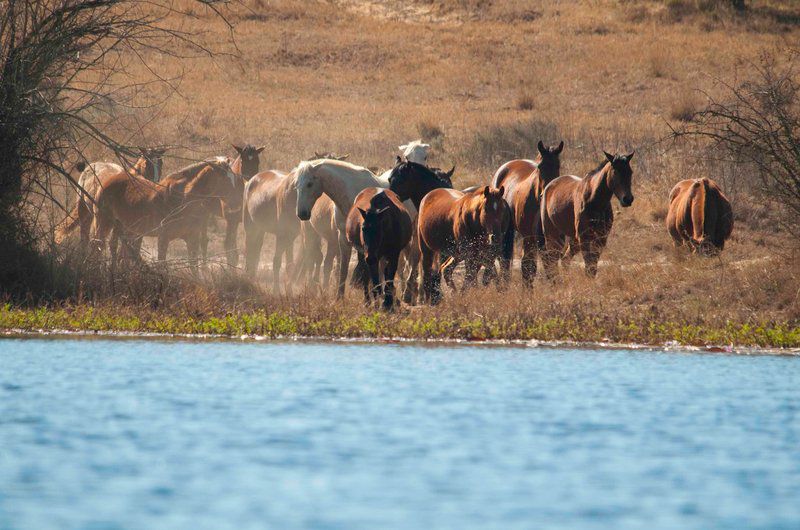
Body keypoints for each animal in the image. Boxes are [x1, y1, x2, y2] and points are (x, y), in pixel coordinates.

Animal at [90, 157, 238, 272]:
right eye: (225, 179)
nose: (235, 203)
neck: (183, 199)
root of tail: (108, 180)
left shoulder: (192, 239)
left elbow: (193, 267)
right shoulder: (163, 238)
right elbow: (162, 264)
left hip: (124, 226)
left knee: (116, 247)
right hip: (104, 222)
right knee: (98, 245)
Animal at [494, 139, 564, 284]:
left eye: (557, 166)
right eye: (540, 167)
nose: (546, 194)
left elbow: (550, 264)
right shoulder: (530, 236)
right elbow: (529, 267)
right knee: (508, 261)